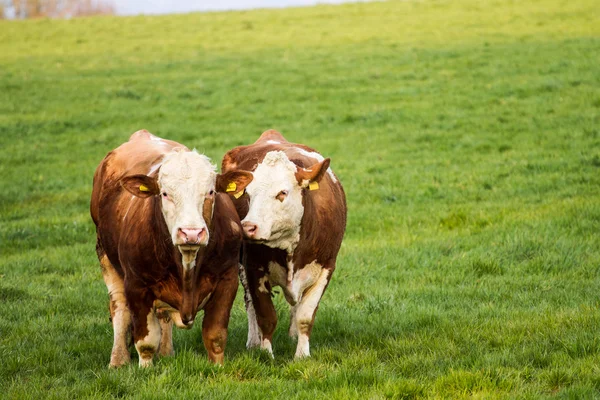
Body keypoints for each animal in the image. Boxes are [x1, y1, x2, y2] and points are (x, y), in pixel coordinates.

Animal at [90, 130, 252, 368]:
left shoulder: (227, 280)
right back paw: (118, 359)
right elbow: (146, 341)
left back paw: (166, 352)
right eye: (165, 194)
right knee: (119, 308)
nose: (191, 232)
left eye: (211, 192)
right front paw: (145, 369)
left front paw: (218, 367)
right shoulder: (136, 285)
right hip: (105, 255)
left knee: (163, 316)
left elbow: (215, 336)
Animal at [221, 130, 346, 358]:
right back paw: (253, 341)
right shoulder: (254, 268)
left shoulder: (326, 268)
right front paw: (266, 354)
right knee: (249, 303)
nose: (248, 227)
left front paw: (302, 355)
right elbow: (265, 315)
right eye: (248, 194)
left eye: (282, 193)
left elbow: (305, 315)